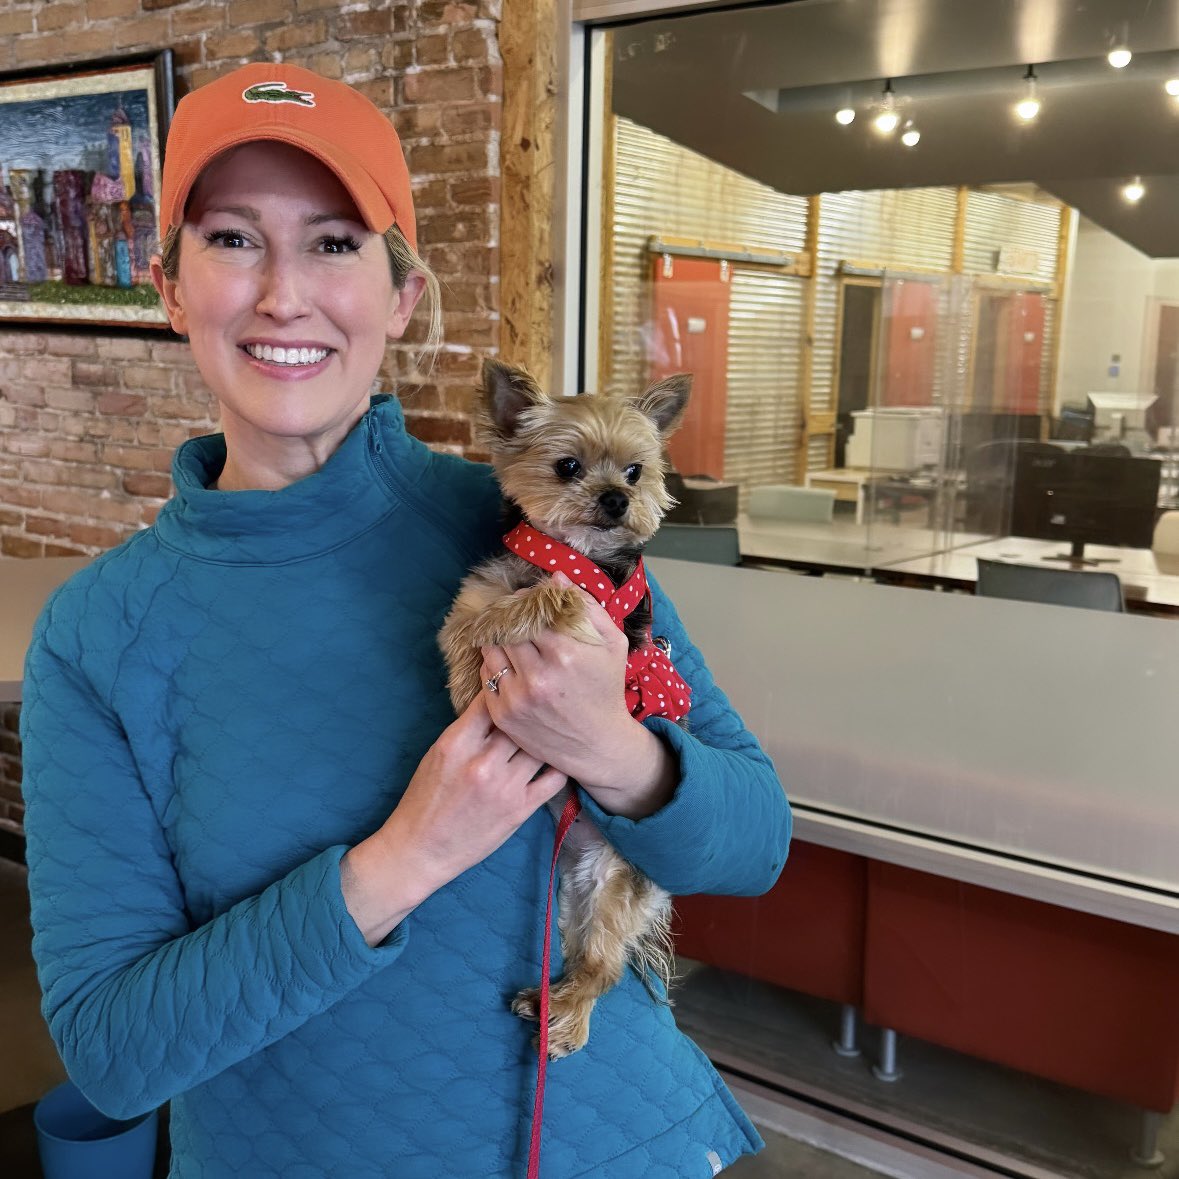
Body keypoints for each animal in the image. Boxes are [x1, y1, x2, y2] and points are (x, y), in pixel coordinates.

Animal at [445, 358, 693, 1061]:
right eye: (567, 467)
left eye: (635, 471)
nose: (617, 499)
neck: (573, 554)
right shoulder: (484, 586)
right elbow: (466, 621)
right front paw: (466, 678)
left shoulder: (586, 610)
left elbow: (540, 602)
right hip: (568, 896)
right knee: (582, 956)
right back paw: (546, 1001)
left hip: (616, 890)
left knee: (605, 968)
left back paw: (566, 1022)